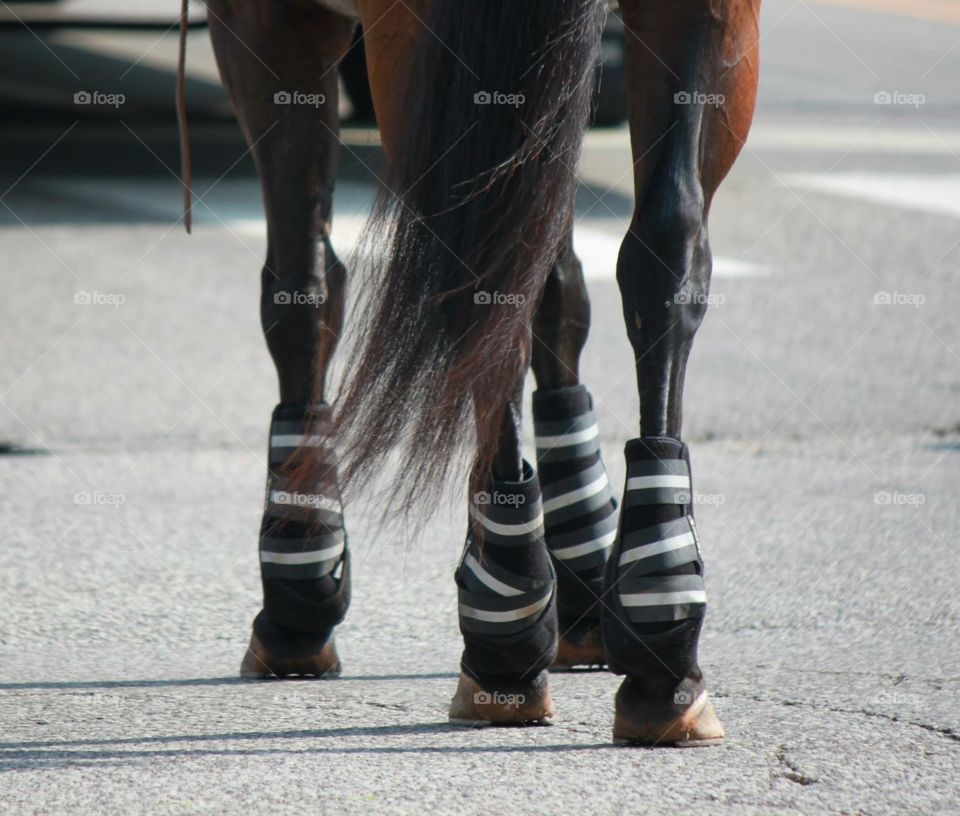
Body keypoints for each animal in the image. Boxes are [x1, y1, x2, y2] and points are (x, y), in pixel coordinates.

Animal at [199, 0, 760, 744]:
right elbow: (559, 282)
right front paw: (583, 577)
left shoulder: (271, 23)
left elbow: (302, 285)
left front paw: (300, 589)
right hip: (703, 22)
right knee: (665, 248)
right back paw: (656, 640)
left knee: (480, 277)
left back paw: (505, 629)